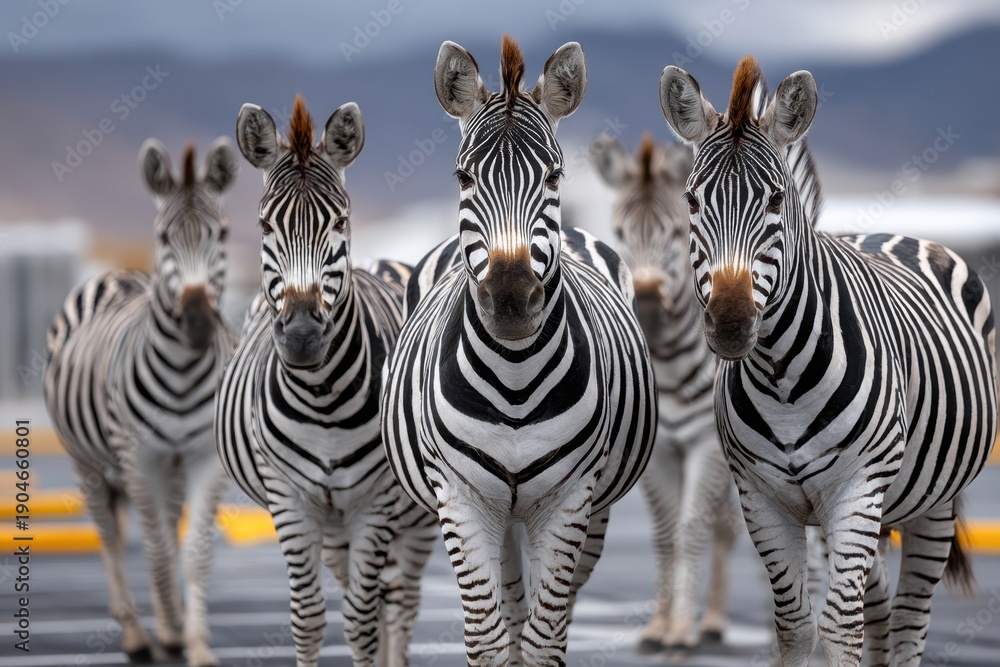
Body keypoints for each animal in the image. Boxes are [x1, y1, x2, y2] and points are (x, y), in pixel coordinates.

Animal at [44, 138, 238, 666]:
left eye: (221, 233)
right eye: (164, 237)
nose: (198, 324)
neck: (183, 375)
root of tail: (114, 273)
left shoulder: (202, 459)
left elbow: (193, 551)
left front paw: (195, 642)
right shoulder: (139, 455)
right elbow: (152, 548)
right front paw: (170, 633)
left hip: (168, 466)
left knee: (160, 529)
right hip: (86, 462)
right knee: (110, 537)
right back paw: (134, 635)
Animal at [213, 95, 437, 667]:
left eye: (340, 220)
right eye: (264, 225)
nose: (302, 337)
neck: (324, 403)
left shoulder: (376, 505)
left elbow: (360, 622)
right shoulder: (290, 500)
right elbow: (309, 618)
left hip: (415, 517)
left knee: (401, 603)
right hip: (336, 529)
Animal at [381, 36, 657, 667]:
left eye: (554, 174)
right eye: (462, 177)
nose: (510, 299)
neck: (513, 381)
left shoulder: (570, 499)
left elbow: (543, 638)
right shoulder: (461, 499)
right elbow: (489, 639)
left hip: (588, 511)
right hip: (497, 516)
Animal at [591, 133, 738, 652]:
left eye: (675, 234)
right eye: (618, 232)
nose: (649, 301)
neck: (670, 370)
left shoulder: (705, 446)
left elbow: (690, 530)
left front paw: (680, 632)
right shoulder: (656, 453)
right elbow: (665, 532)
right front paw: (658, 626)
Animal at [659, 54, 997, 667]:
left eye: (775, 200)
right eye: (692, 201)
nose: (730, 323)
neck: (782, 378)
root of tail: (887, 233)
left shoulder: (857, 487)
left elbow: (840, 624)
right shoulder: (762, 497)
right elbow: (794, 624)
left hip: (932, 504)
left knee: (908, 620)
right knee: (881, 612)